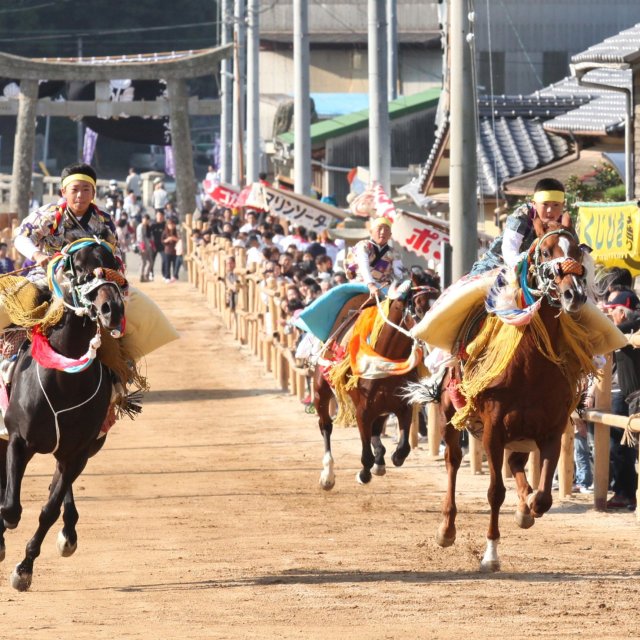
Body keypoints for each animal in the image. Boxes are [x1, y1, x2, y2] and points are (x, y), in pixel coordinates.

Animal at [0, 234, 130, 592]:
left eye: (113, 264)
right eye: (80, 268)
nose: (111, 309)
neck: (63, 380)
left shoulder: (78, 451)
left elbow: (48, 509)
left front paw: (24, 569)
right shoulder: (18, 439)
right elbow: (10, 509)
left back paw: (68, 534)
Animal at [314, 264, 440, 490]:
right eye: (419, 307)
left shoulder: (403, 405)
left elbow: (402, 450)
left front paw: (386, 459)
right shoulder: (363, 410)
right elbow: (366, 455)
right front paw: (363, 473)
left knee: (377, 429)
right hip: (321, 389)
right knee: (325, 425)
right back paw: (328, 475)